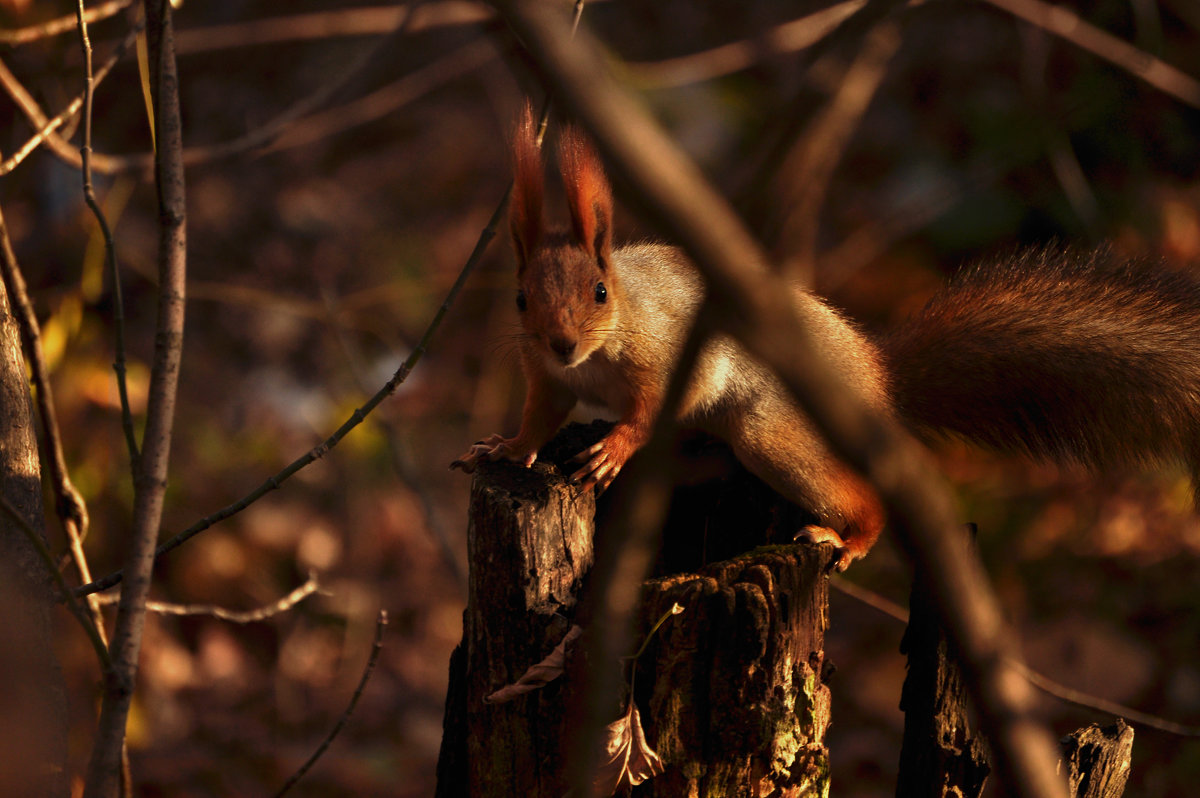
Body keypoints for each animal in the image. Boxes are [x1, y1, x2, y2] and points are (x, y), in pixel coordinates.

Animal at [453, 107, 1200, 566]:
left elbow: (654, 402)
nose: (562, 343)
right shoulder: (547, 379)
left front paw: (614, 447)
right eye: (520, 298)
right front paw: (504, 447)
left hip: (775, 433)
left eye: (600, 293)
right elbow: (541, 417)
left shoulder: (665, 350)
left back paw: (850, 539)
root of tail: (878, 382)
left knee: (862, 497)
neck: (596, 355)